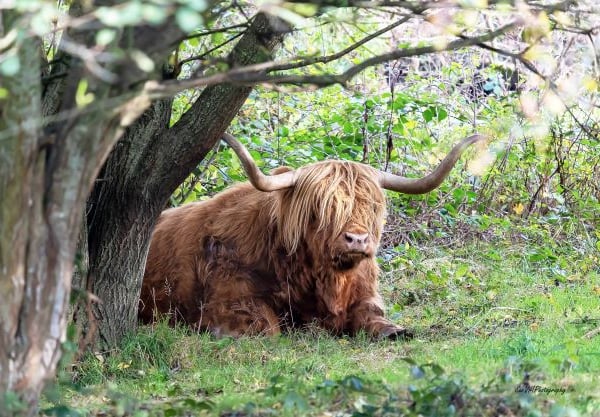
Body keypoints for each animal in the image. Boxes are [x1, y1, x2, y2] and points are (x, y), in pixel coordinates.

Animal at [138, 133, 486, 338]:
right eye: (323, 207)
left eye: (370, 206)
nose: (357, 240)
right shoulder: (228, 300)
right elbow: (267, 327)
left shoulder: (365, 294)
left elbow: (377, 318)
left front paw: (395, 330)